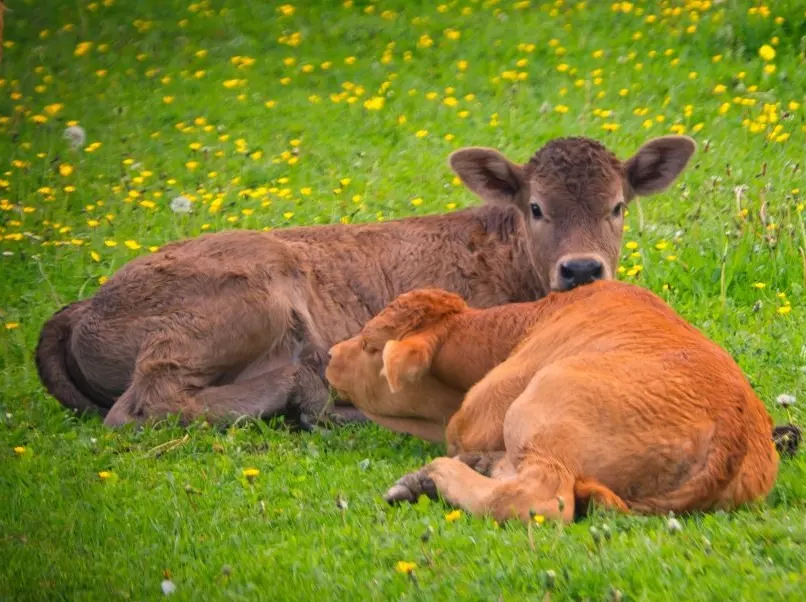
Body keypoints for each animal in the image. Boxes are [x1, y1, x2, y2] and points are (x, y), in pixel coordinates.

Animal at [34, 136, 696, 426]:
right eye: (536, 207)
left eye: (617, 205)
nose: (582, 269)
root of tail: (84, 306)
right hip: (251, 296)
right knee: (146, 403)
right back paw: (306, 392)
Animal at [326, 282, 784, 520]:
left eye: (369, 344)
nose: (329, 355)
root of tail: (733, 429)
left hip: (542, 405)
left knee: (538, 498)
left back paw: (438, 474)